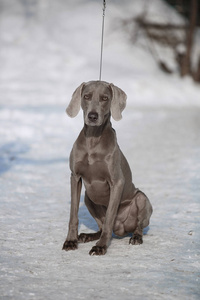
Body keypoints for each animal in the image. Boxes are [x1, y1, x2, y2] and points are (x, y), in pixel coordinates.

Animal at [63, 80, 153, 255]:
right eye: (86, 96)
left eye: (105, 98)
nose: (92, 116)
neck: (93, 140)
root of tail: (121, 230)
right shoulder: (74, 177)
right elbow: (73, 215)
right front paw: (71, 241)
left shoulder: (116, 182)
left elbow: (110, 216)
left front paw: (101, 246)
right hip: (88, 197)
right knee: (101, 225)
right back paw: (87, 236)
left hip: (142, 198)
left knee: (136, 225)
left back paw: (136, 237)